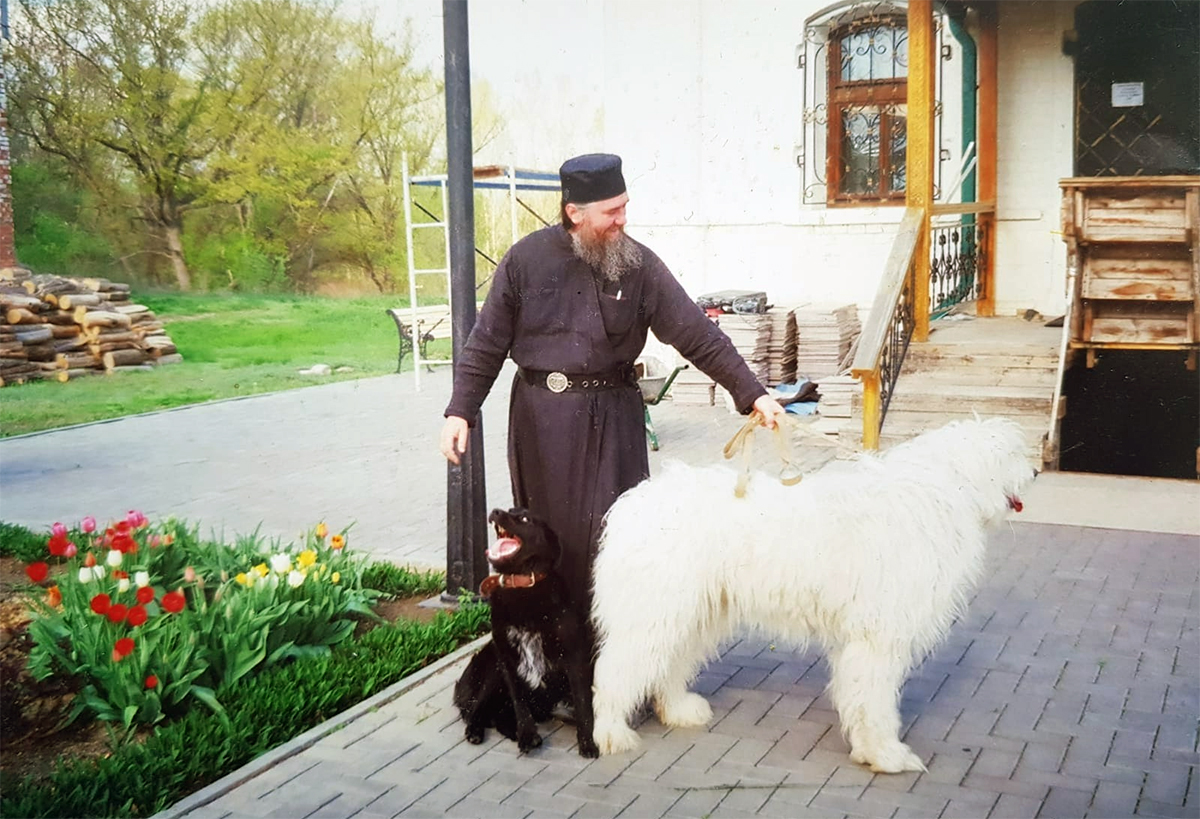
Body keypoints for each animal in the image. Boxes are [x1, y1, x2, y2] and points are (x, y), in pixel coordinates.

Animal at [451, 506, 597, 754]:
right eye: (509, 510)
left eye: (526, 518)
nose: (495, 511)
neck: (522, 584)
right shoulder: (507, 659)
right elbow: (519, 701)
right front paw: (528, 735)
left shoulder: (574, 655)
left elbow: (582, 702)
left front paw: (587, 742)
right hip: (493, 669)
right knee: (478, 709)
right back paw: (477, 731)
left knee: (498, 715)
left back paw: (511, 730)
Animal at [590, 417, 1032, 768]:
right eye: (1011, 454)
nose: (1034, 472)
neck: (937, 494)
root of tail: (634, 503)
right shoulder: (878, 636)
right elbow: (874, 700)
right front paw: (885, 754)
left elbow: (861, 695)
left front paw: (871, 749)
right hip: (655, 608)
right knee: (615, 670)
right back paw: (611, 732)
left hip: (692, 610)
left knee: (669, 663)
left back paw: (679, 710)